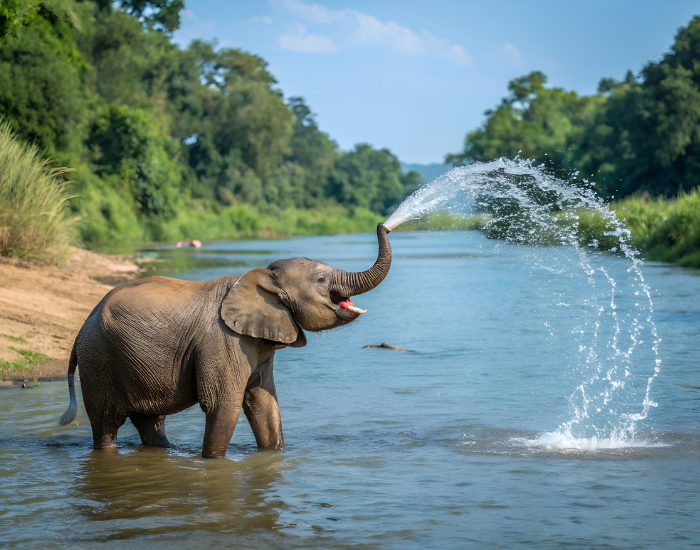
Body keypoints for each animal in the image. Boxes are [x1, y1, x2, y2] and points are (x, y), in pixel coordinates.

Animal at [59, 224, 392, 458]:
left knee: (150, 421)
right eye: (321, 280)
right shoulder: (224, 341)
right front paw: (212, 463)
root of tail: (81, 330)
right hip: (100, 361)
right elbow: (224, 406)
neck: (261, 277)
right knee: (106, 425)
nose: (384, 225)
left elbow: (265, 404)